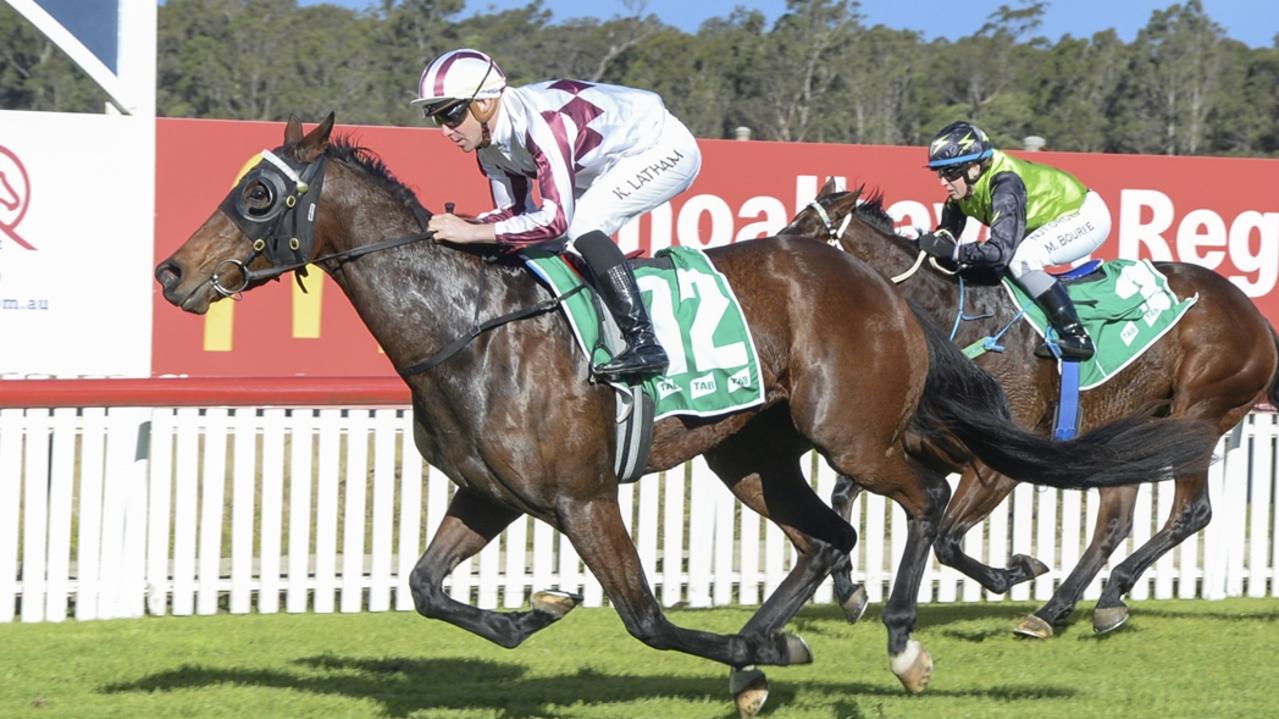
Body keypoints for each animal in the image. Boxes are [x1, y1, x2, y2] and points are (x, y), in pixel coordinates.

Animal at [154, 114, 1212, 706]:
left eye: (258, 197)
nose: (171, 272)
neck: (472, 327)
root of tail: (881, 285)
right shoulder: (488, 494)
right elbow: (423, 588)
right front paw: (537, 611)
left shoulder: (581, 497)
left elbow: (646, 617)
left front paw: (748, 653)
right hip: (749, 454)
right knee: (829, 534)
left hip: (851, 434)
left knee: (926, 496)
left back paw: (903, 639)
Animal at [782, 181, 1273, 634]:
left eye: (806, 232)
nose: (774, 261)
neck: (956, 321)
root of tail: (1254, 316)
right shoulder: (923, 447)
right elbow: (843, 495)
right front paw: (850, 591)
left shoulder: (997, 464)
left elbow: (947, 539)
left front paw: (1016, 570)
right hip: (1129, 435)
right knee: (1113, 524)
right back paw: (1064, 609)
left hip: (1198, 414)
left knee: (1191, 512)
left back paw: (1102, 592)